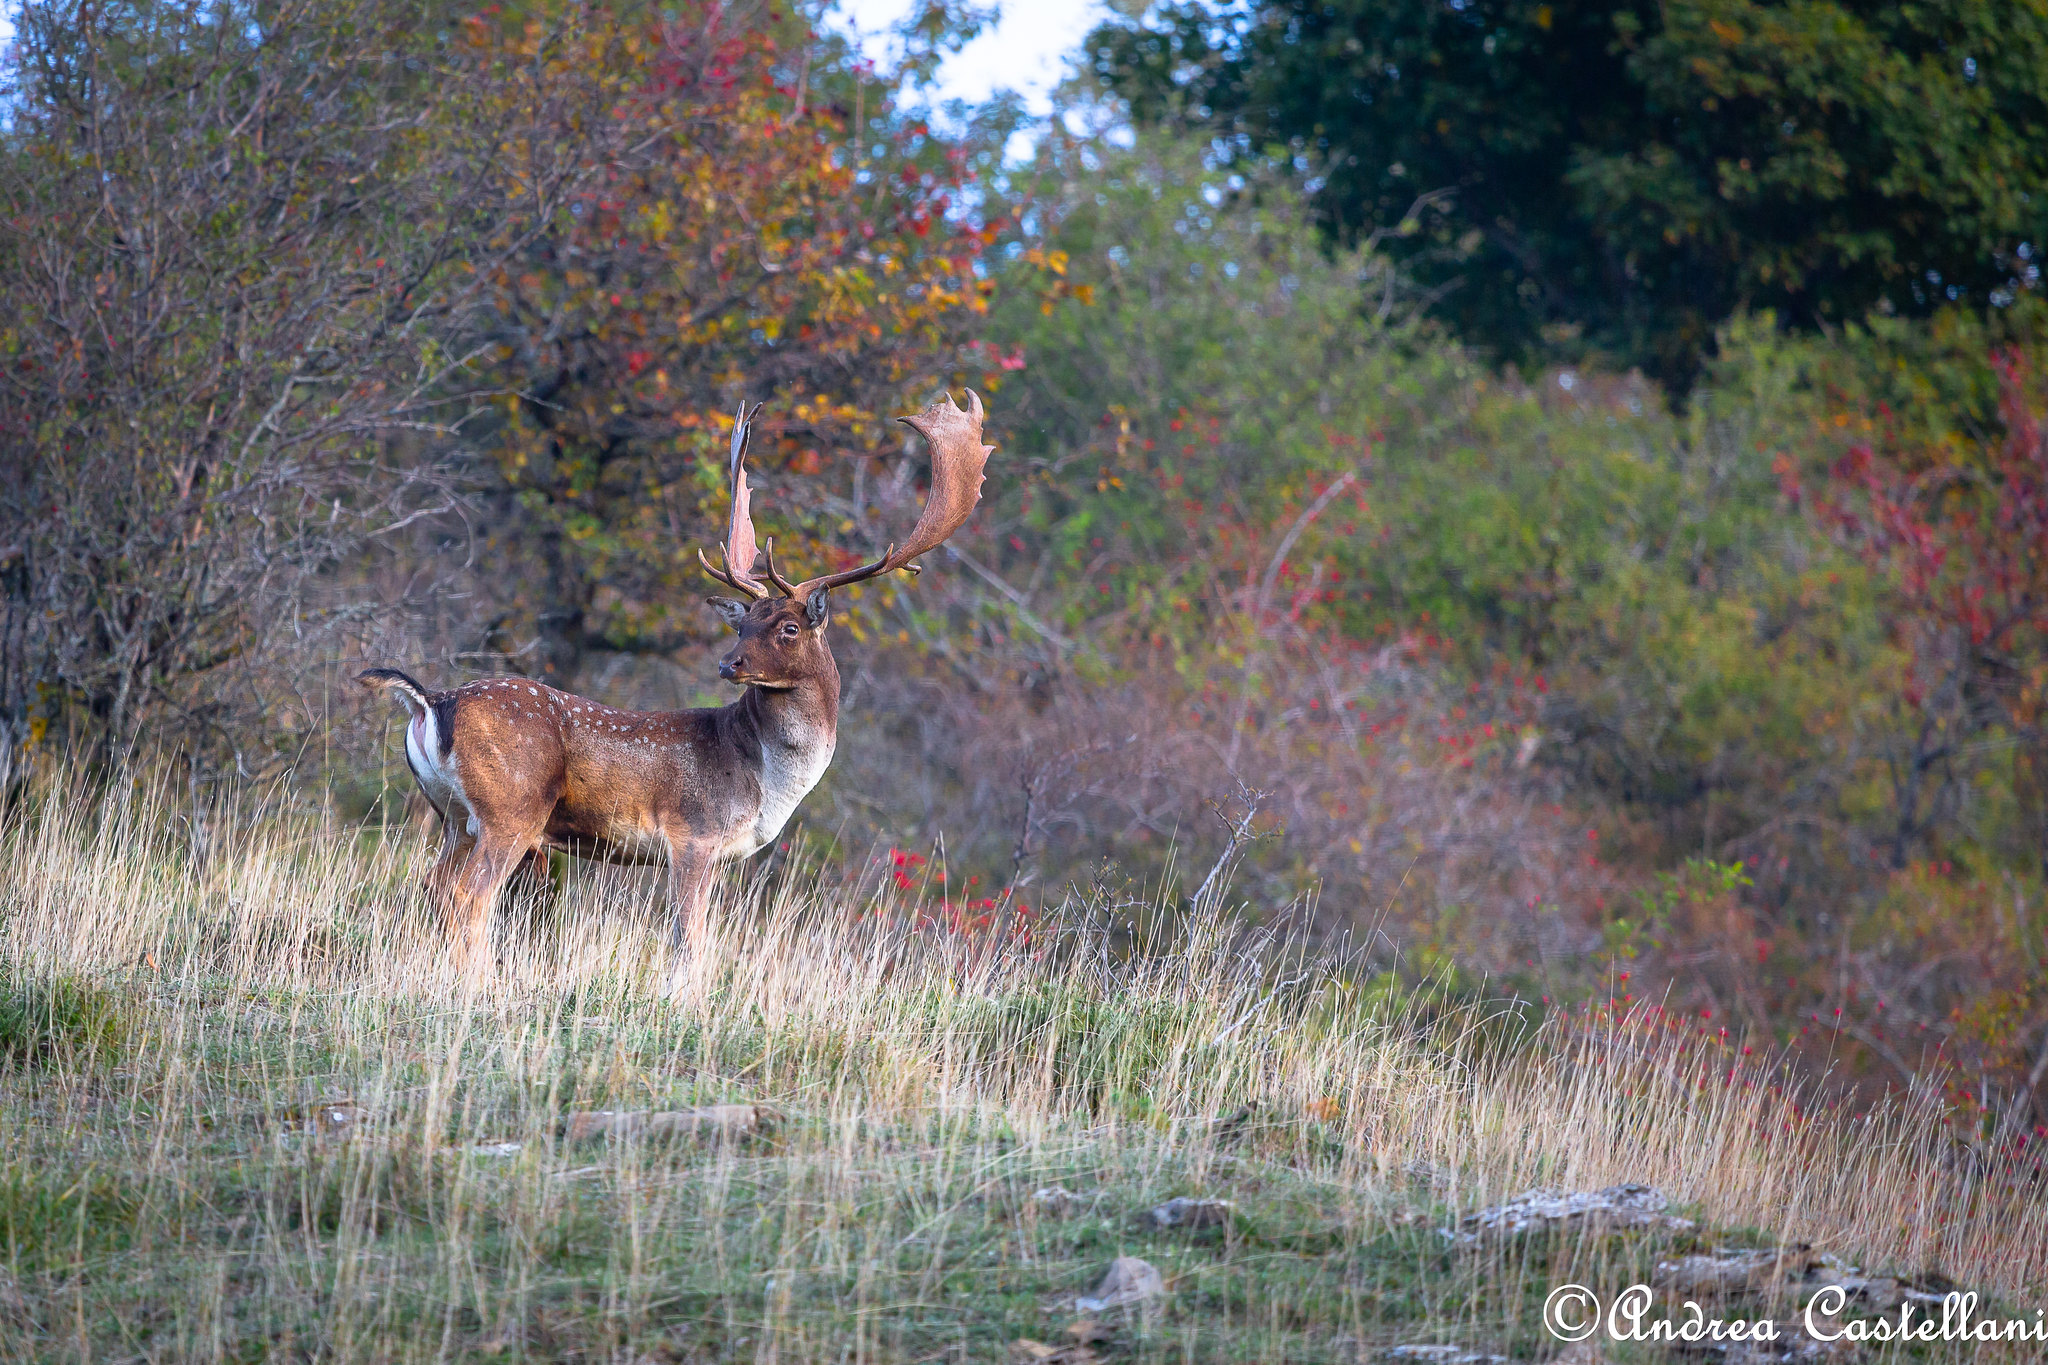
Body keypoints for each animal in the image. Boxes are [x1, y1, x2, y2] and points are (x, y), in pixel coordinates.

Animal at [358, 391, 993, 970]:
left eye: (786, 627)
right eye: (746, 623)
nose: (729, 664)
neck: (764, 779)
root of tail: (430, 702)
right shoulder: (694, 834)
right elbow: (690, 942)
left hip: (450, 815)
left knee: (433, 888)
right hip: (510, 807)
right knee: (470, 896)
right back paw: (479, 987)